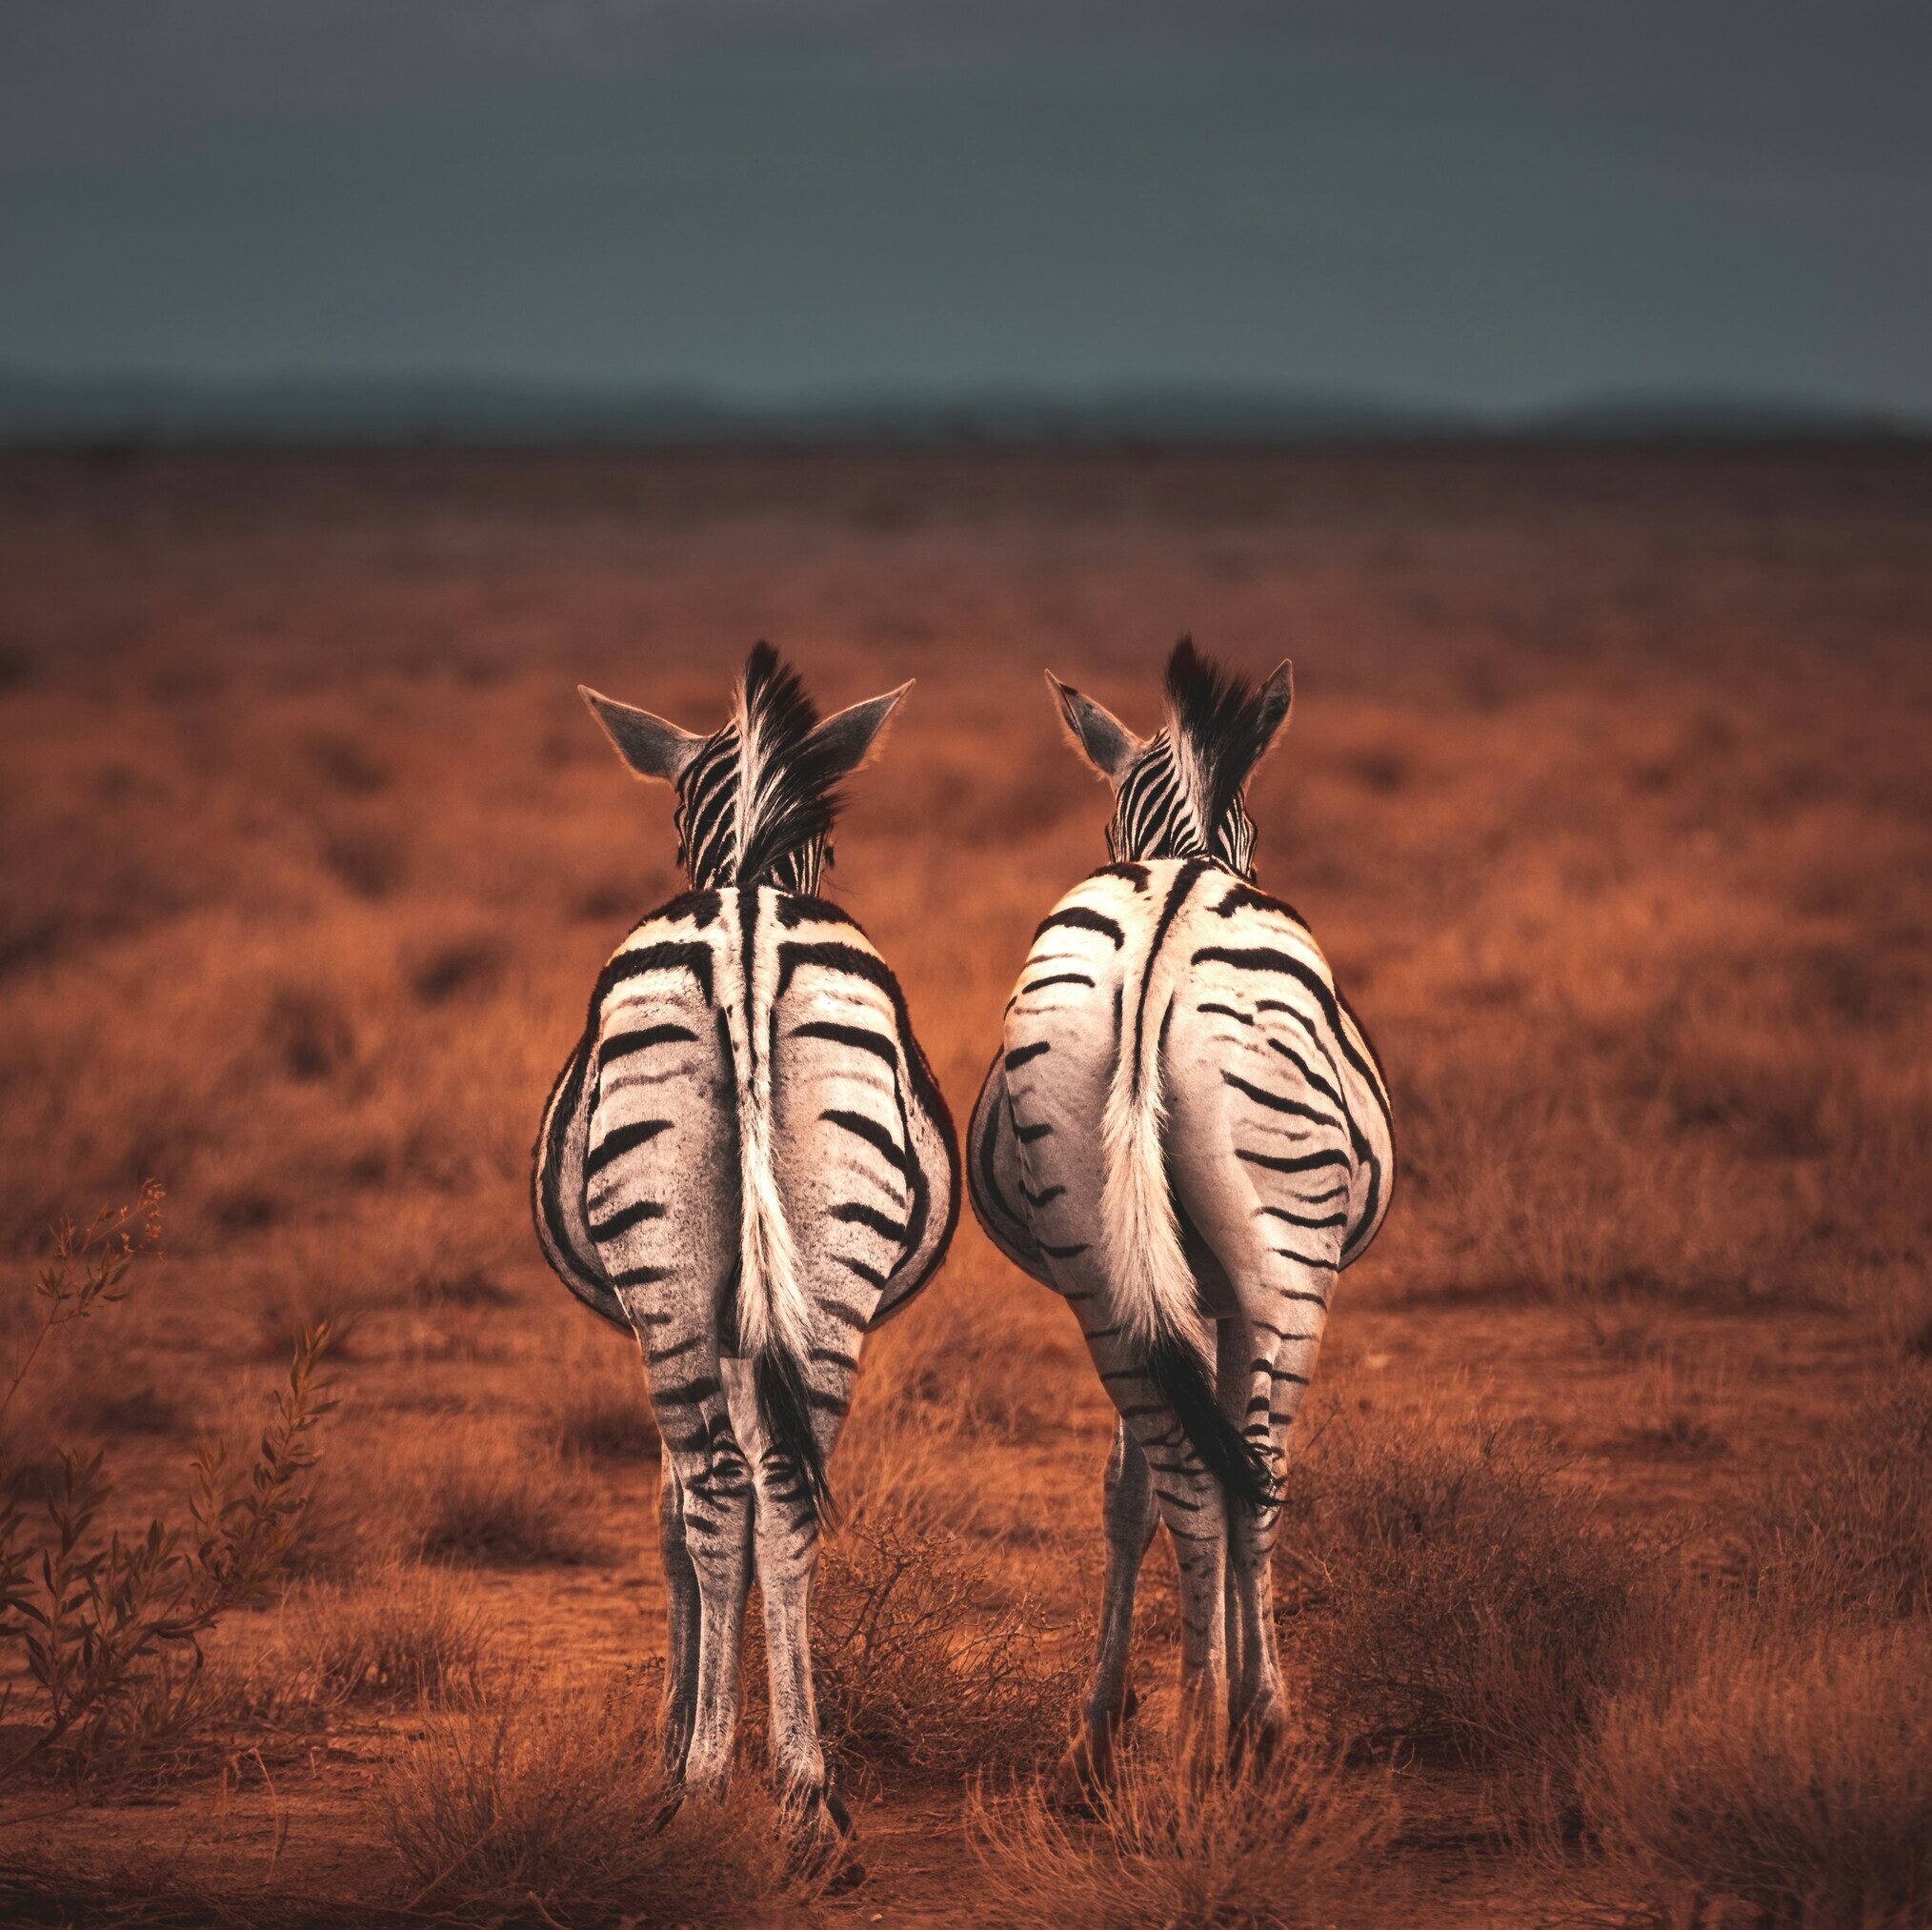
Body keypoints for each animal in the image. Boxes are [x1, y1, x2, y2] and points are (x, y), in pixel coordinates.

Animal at [533, 643, 959, 1854]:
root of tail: (746, 937)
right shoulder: (756, 1323)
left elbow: (670, 1514)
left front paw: (675, 1739)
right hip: (827, 1274)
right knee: (789, 1492)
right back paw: (809, 1792)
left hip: (669, 1284)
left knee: (722, 1489)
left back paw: (708, 1783)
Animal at [968, 639, 1394, 1781]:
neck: (1189, 849)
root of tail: (1157, 953)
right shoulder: (1233, 1294)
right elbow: (1236, 1472)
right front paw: (1241, 1697)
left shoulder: (1175, 1291)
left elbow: (1132, 1494)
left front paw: (1105, 1713)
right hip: (1289, 1256)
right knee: (1254, 1478)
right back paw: (1241, 1722)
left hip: (1098, 1257)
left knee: (1185, 1483)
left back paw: (1173, 1725)